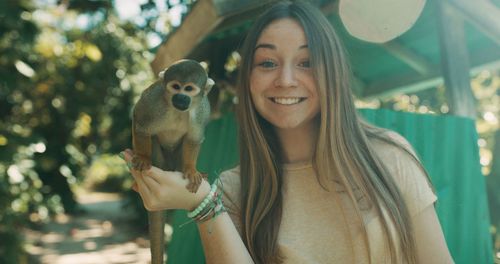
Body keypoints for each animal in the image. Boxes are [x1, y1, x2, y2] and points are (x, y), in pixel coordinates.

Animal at [131, 59, 213, 264]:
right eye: (175, 87)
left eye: (189, 89)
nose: (181, 97)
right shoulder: (153, 102)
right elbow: (141, 125)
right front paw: (143, 158)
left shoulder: (202, 110)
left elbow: (193, 139)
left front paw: (191, 170)